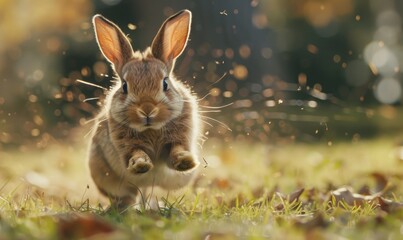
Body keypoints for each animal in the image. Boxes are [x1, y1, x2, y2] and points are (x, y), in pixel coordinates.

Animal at [89, 9, 201, 209]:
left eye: (165, 83)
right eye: (124, 86)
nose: (147, 110)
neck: (151, 129)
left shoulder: (179, 138)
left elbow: (176, 150)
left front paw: (185, 161)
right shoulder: (126, 145)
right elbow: (136, 153)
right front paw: (141, 165)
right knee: (130, 195)